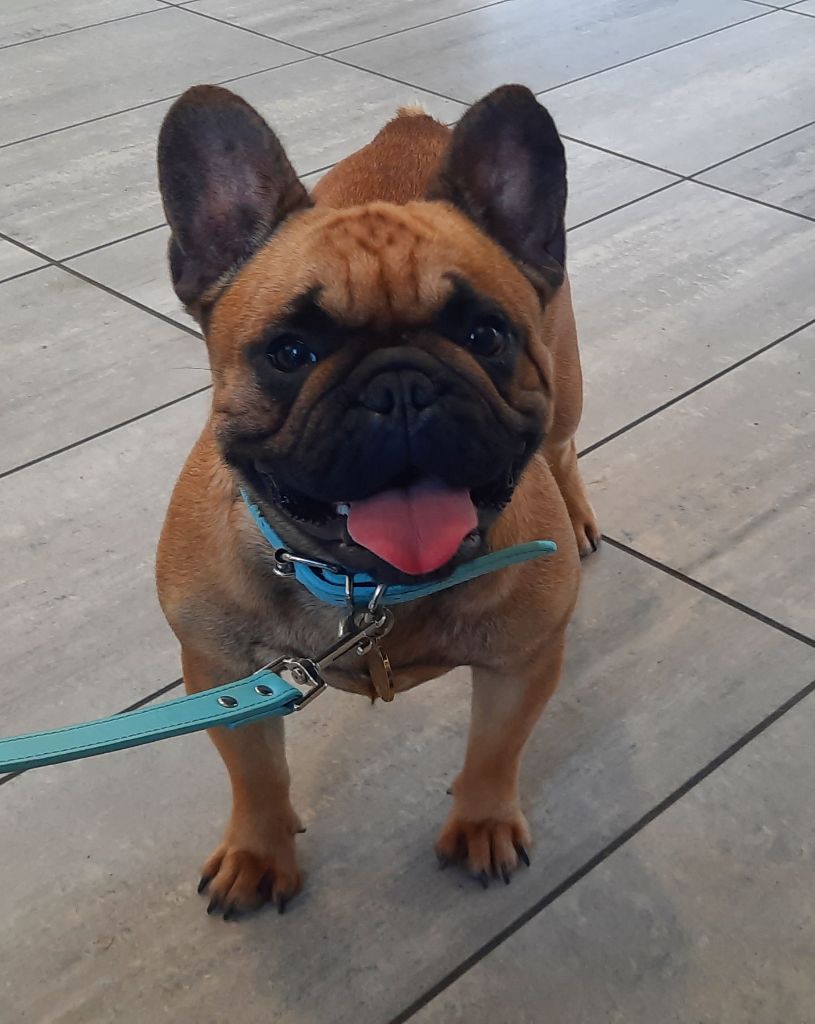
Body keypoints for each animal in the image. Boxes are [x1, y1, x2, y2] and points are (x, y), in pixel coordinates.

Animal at [155, 83, 599, 916]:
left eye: (486, 335)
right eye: (290, 352)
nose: (401, 386)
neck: (368, 586)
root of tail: (411, 126)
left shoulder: (521, 665)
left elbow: (494, 752)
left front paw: (482, 823)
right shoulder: (225, 680)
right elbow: (255, 776)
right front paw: (259, 851)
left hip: (565, 382)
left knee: (559, 446)